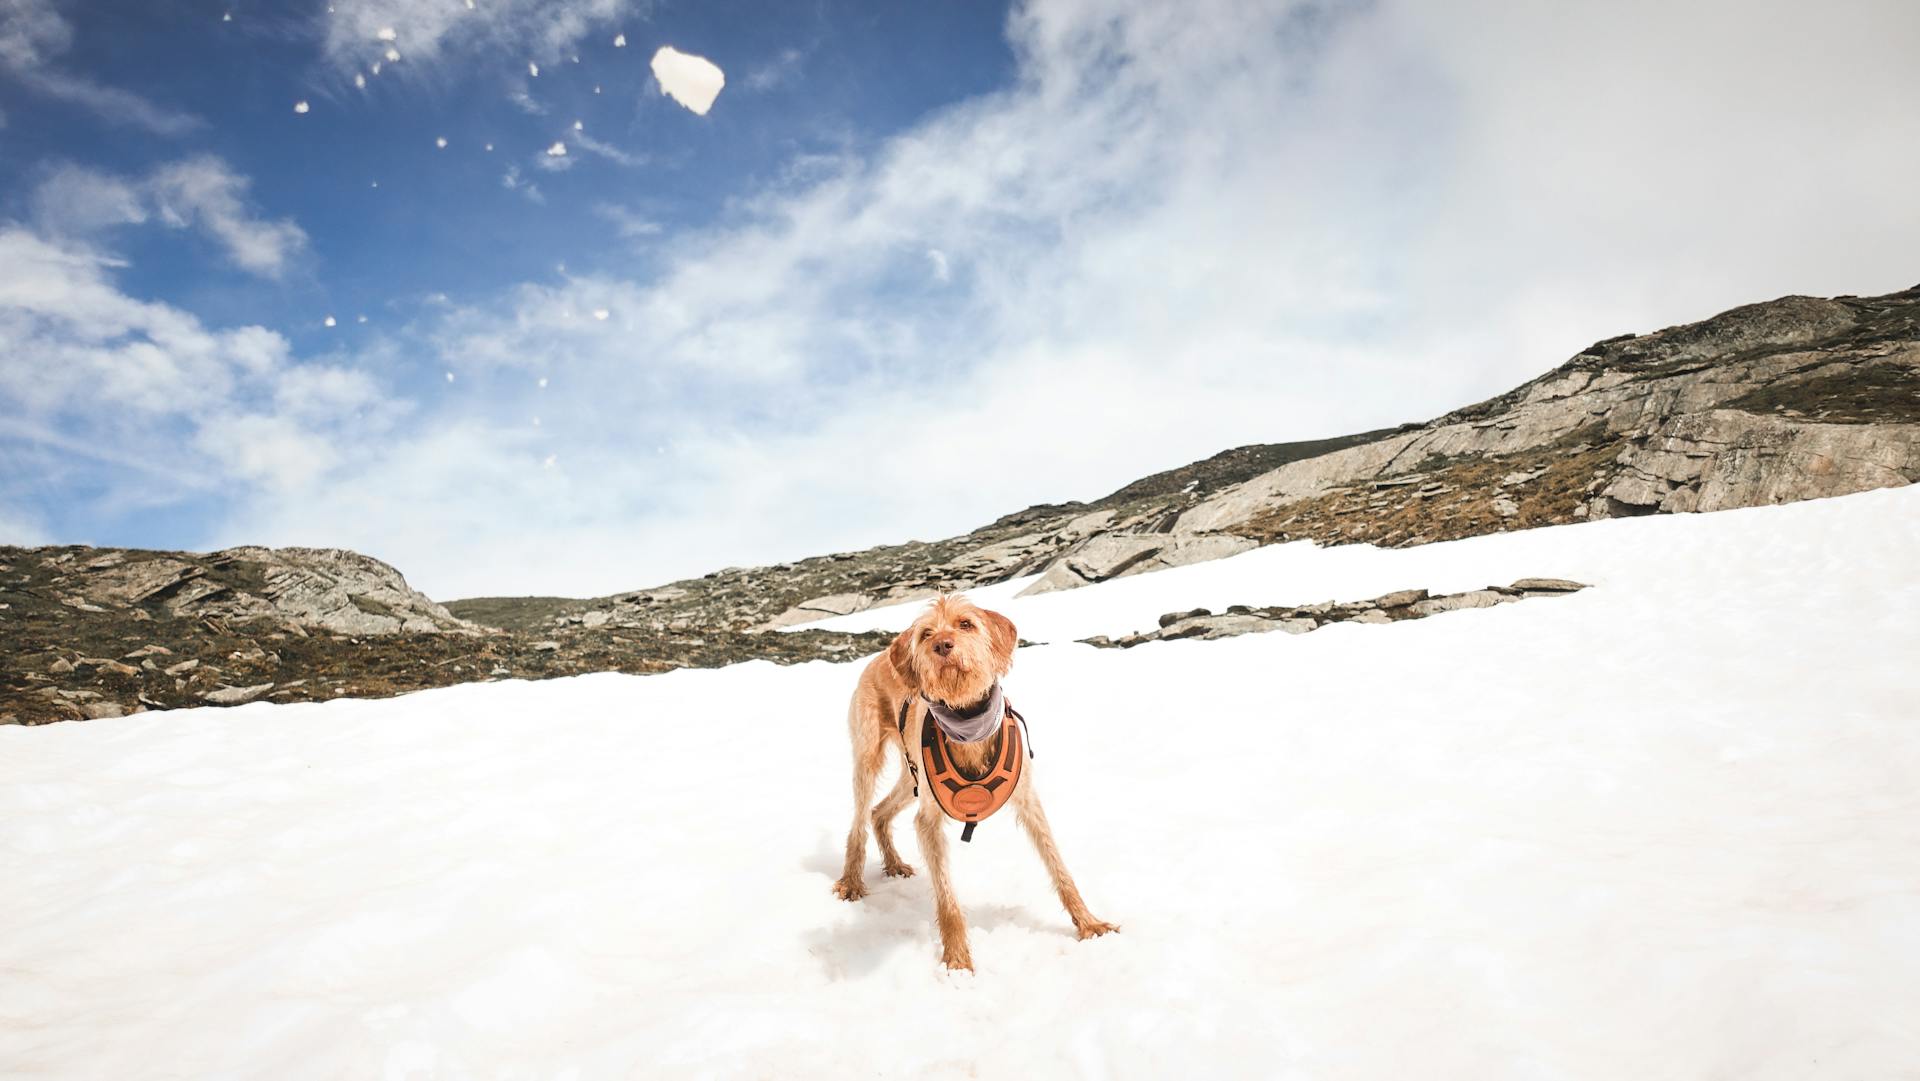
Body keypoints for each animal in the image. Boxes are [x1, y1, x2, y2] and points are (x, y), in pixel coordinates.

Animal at [833, 591, 1121, 971]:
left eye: (966, 623)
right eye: (926, 634)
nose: (942, 644)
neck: (967, 718)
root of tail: (878, 657)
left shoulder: (1029, 802)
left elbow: (1059, 868)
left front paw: (1089, 924)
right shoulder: (929, 820)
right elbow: (947, 899)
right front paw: (957, 961)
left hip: (912, 777)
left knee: (879, 811)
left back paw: (893, 863)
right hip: (868, 758)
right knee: (859, 820)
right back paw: (851, 881)